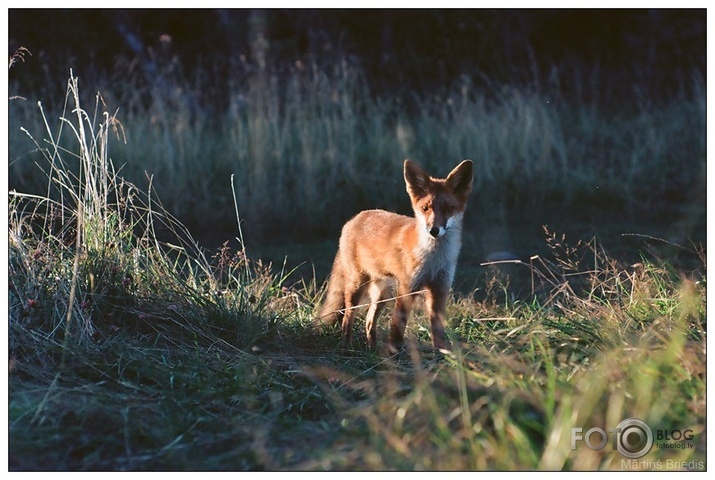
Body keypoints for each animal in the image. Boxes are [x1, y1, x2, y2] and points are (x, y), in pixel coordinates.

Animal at [316, 159, 472, 354]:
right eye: (425, 208)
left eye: (449, 209)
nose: (434, 230)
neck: (434, 260)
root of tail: (355, 217)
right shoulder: (407, 287)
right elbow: (398, 326)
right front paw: (394, 352)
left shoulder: (440, 288)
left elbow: (437, 329)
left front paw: (442, 353)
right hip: (357, 286)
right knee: (347, 318)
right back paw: (347, 348)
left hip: (382, 294)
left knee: (369, 320)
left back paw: (372, 349)